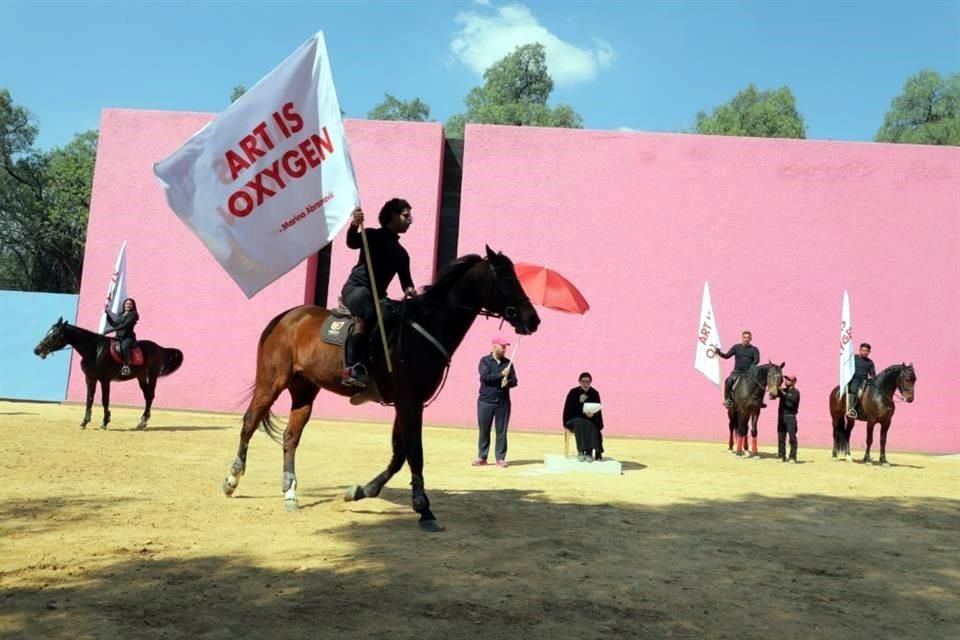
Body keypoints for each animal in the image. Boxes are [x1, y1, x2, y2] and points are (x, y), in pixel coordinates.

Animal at [34, 318, 185, 430]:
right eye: (48, 332)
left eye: (54, 335)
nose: (37, 350)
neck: (94, 350)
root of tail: (160, 348)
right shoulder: (90, 378)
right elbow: (89, 399)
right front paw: (84, 422)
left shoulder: (104, 380)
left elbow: (104, 400)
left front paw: (105, 422)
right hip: (141, 376)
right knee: (147, 396)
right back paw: (142, 422)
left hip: (152, 375)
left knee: (151, 396)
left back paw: (143, 422)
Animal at [220, 248, 544, 532]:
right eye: (507, 279)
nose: (533, 319)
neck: (424, 328)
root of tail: (285, 317)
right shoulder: (409, 401)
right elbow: (414, 453)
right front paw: (424, 510)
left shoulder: (408, 402)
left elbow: (399, 454)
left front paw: (360, 490)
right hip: (271, 382)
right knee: (249, 423)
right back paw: (232, 479)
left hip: (304, 391)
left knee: (290, 437)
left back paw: (290, 493)